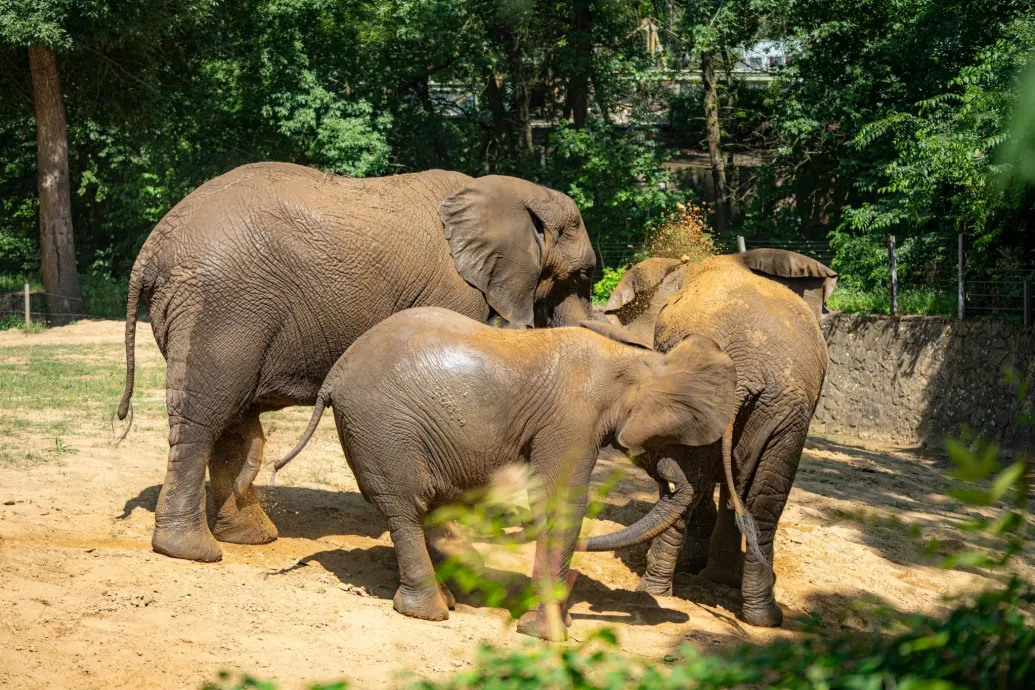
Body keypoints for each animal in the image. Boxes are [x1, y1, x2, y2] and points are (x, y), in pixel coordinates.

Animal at [115, 164, 600, 562]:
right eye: (582, 276)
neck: (515, 191)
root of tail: (154, 245)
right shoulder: (455, 287)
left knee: (229, 417)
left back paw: (250, 538)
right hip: (221, 306)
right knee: (203, 415)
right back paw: (190, 550)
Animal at [269, 304, 736, 641]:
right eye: (674, 438)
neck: (636, 360)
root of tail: (336, 371)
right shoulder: (571, 419)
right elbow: (560, 501)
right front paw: (547, 635)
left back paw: (450, 598)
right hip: (382, 426)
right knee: (406, 507)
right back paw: (431, 613)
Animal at [587, 251, 836, 628]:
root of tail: (745, 369)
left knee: (700, 487)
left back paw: (660, 590)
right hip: (782, 413)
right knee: (759, 501)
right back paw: (759, 615)